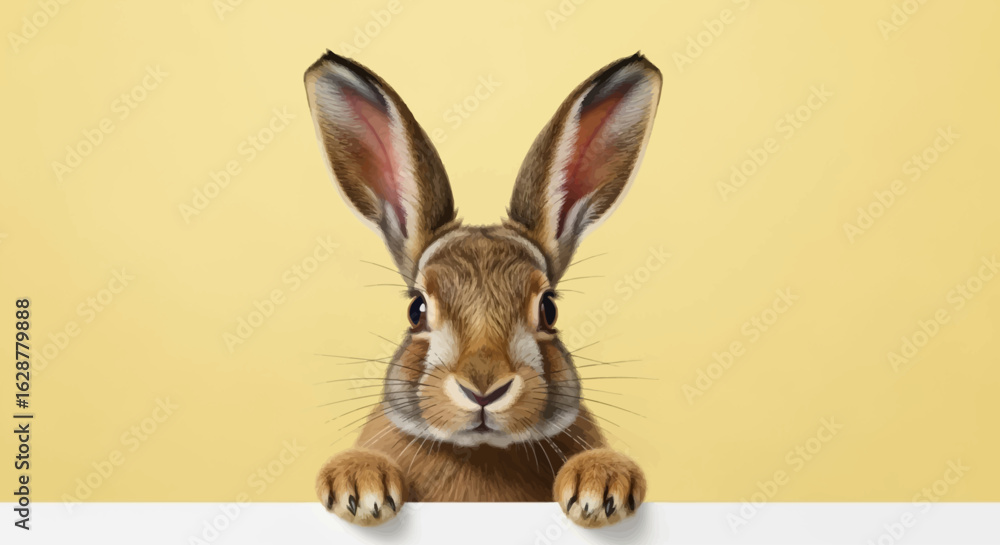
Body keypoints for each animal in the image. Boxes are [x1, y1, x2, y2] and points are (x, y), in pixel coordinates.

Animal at [304, 50, 661, 528]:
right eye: (416, 309)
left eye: (549, 309)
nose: (483, 390)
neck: (483, 454)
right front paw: (357, 484)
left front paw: (603, 484)